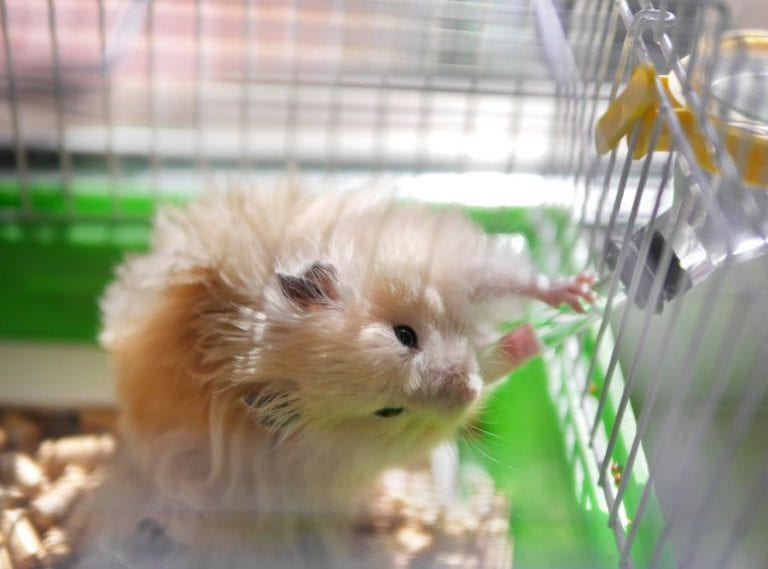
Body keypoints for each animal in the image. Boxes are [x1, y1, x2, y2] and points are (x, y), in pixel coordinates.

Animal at [87, 183, 593, 558]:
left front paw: (579, 293)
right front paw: (533, 337)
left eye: (404, 334)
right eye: (387, 411)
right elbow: (494, 368)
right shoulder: (401, 438)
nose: (465, 390)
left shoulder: (448, 263)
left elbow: (506, 277)